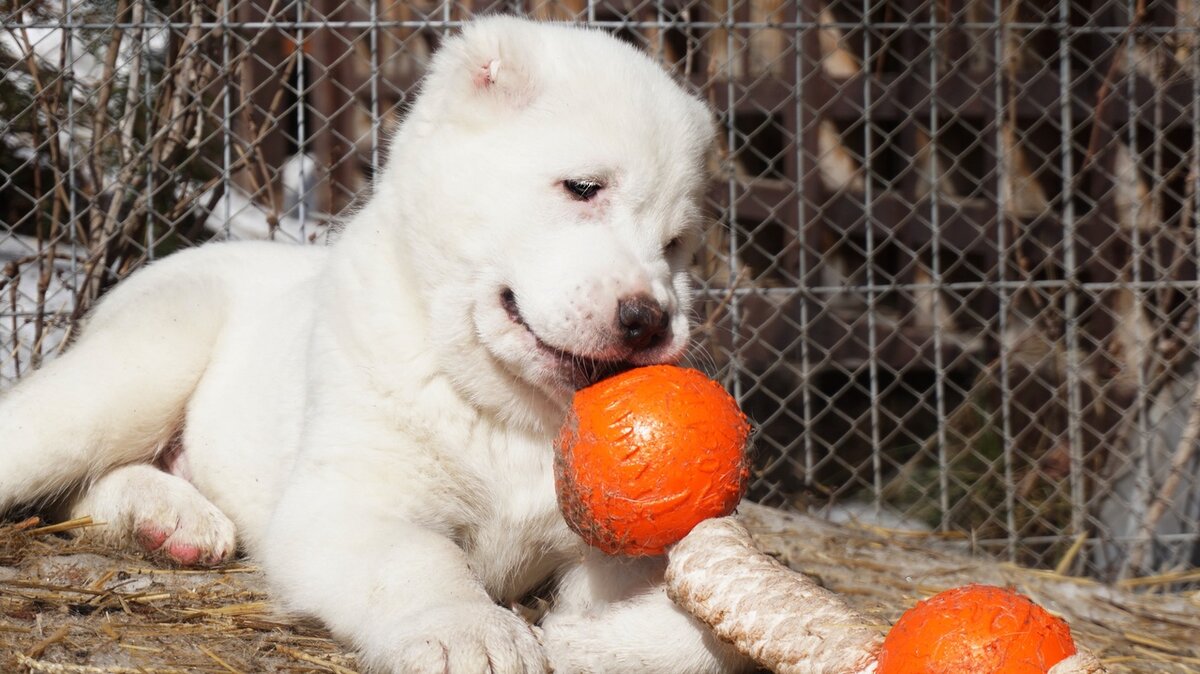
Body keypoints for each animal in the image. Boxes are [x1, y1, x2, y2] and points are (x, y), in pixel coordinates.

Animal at [0, 15, 744, 671]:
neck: (513, 414)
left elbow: (703, 635)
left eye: (676, 245)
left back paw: (171, 521)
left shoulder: (620, 549)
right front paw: (471, 634)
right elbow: (421, 563)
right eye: (583, 188)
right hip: (140, 365)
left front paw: (592, 641)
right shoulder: (349, 504)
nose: (650, 320)